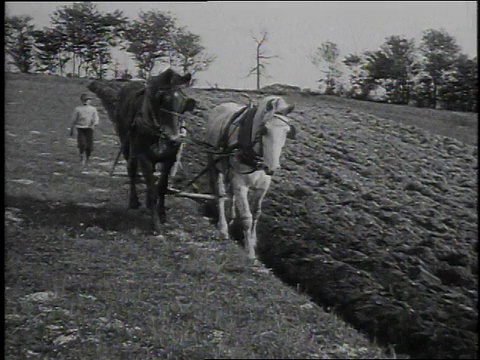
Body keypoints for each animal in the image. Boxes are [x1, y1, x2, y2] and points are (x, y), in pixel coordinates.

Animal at [90, 68, 195, 232]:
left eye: (183, 105)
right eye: (162, 99)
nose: (173, 138)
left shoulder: (170, 158)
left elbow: (161, 187)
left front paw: (162, 214)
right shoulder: (144, 156)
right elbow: (151, 190)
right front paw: (155, 224)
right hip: (126, 143)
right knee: (132, 169)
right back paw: (134, 201)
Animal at [206, 95, 296, 258]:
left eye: (287, 131)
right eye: (265, 129)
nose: (271, 168)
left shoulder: (262, 187)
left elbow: (256, 214)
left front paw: (253, 241)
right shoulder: (240, 185)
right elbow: (247, 217)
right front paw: (249, 252)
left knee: (230, 195)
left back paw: (231, 217)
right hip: (213, 165)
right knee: (220, 195)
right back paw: (223, 228)